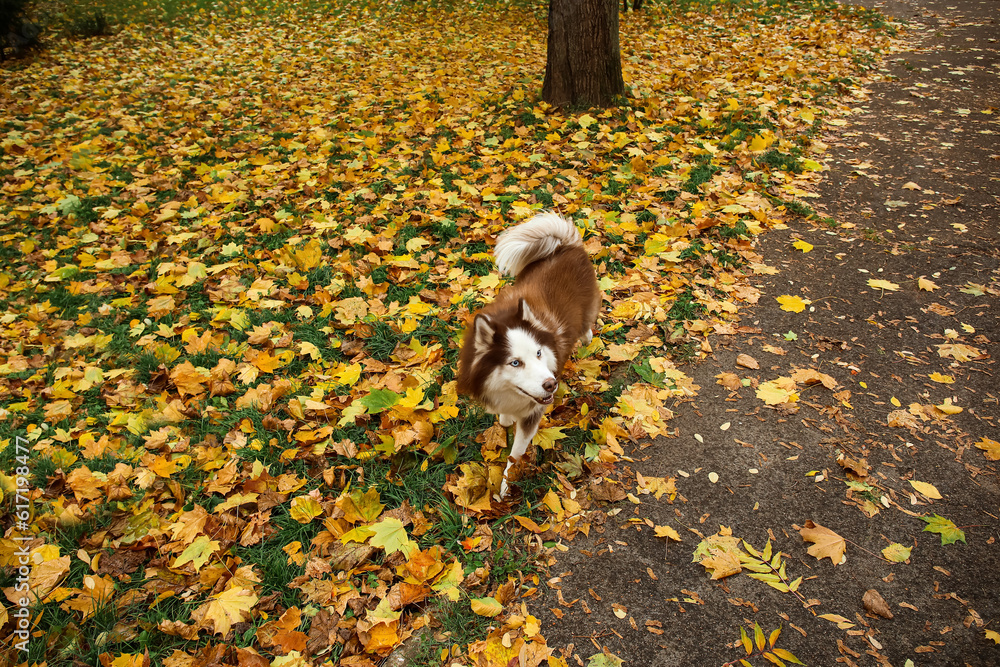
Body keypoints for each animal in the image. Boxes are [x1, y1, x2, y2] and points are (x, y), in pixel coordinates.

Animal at [456, 211, 600, 498]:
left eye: (538, 353)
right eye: (515, 363)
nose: (552, 384)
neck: (508, 391)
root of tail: (566, 245)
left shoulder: (533, 414)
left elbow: (515, 455)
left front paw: (506, 486)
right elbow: (504, 417)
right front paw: (504, 419)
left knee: (586, 324)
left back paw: (587, 337)